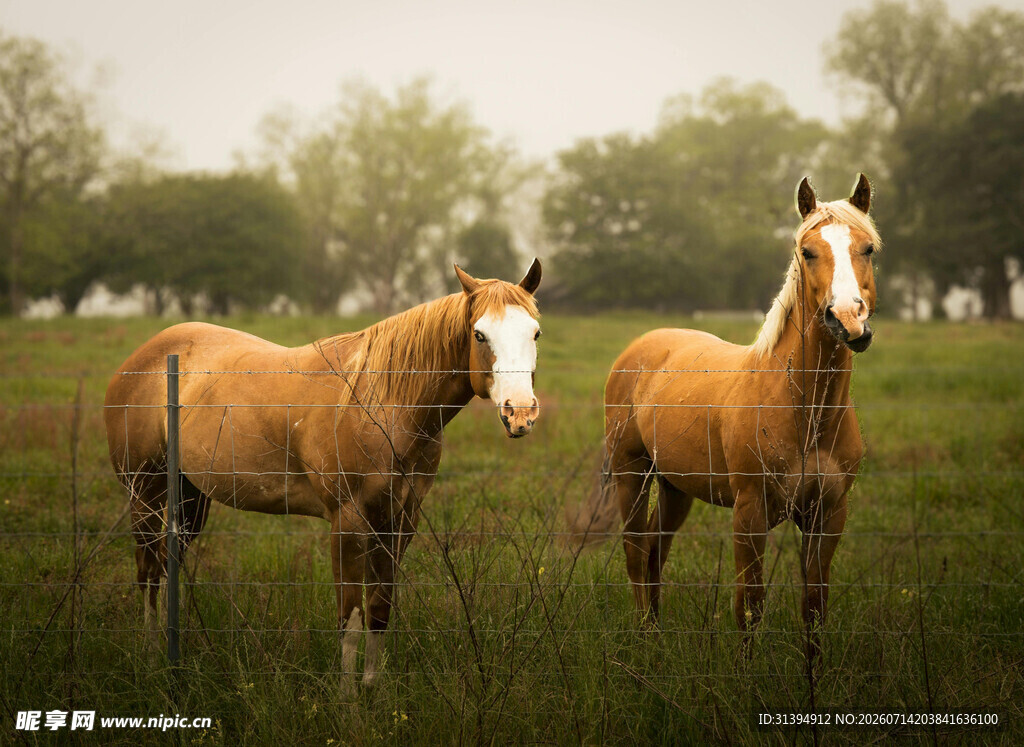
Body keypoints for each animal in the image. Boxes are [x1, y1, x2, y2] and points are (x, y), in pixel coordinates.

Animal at [104, 260, 543, 688]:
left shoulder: (398, 521)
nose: (520, 412)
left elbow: (379, 609)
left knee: (165, 565)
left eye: (535, 332)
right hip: (146, 493)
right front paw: (348, 699)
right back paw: (151, 657)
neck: (382, 404)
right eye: (479, 335)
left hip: (190, 498)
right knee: (148, 571)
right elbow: (350, 618)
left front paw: (372, 691)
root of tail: (137, 362)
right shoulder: (348, 522)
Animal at [603, 175, 880, 653]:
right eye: (807, 251)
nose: (847, 319)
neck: (806, 411)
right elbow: (749, 607)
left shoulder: (828, 515)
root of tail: (640, 348)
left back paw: (656, 633)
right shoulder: (750, 512)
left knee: (656, 549)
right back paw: (645, 640)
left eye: (868, 249)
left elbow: (815, 608)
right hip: (631, 473)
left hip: (675, 486)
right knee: (637, 551)